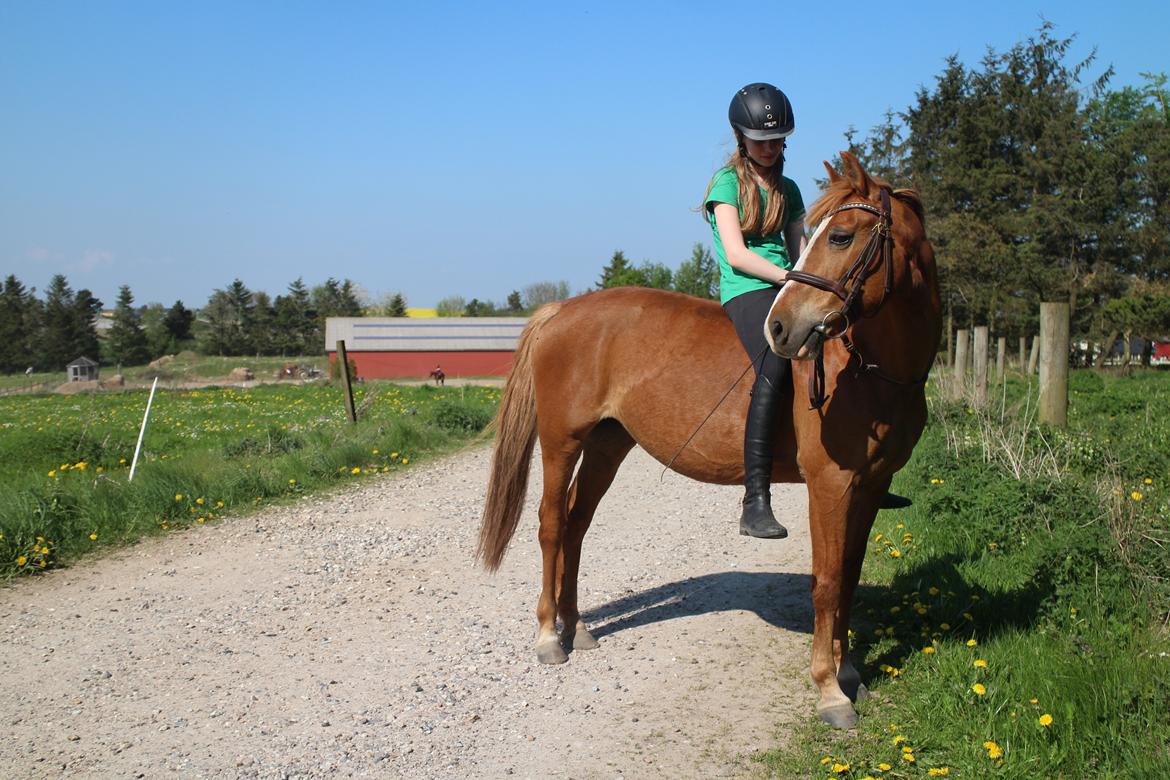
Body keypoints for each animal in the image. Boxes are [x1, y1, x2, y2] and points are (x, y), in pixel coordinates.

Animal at [475, 154, 940, 734]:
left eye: (840, 236)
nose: (782, 329)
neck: (867, 370)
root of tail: (560, 311)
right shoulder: (830, 485)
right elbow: (829, 581)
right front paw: (830, 689)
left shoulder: (872, 486)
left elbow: (851, 578)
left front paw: (850, 671)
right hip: (562, 441)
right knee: (553, 525)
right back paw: (547, 637)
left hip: (607, 445)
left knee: (577, 525)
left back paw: (575, 626)